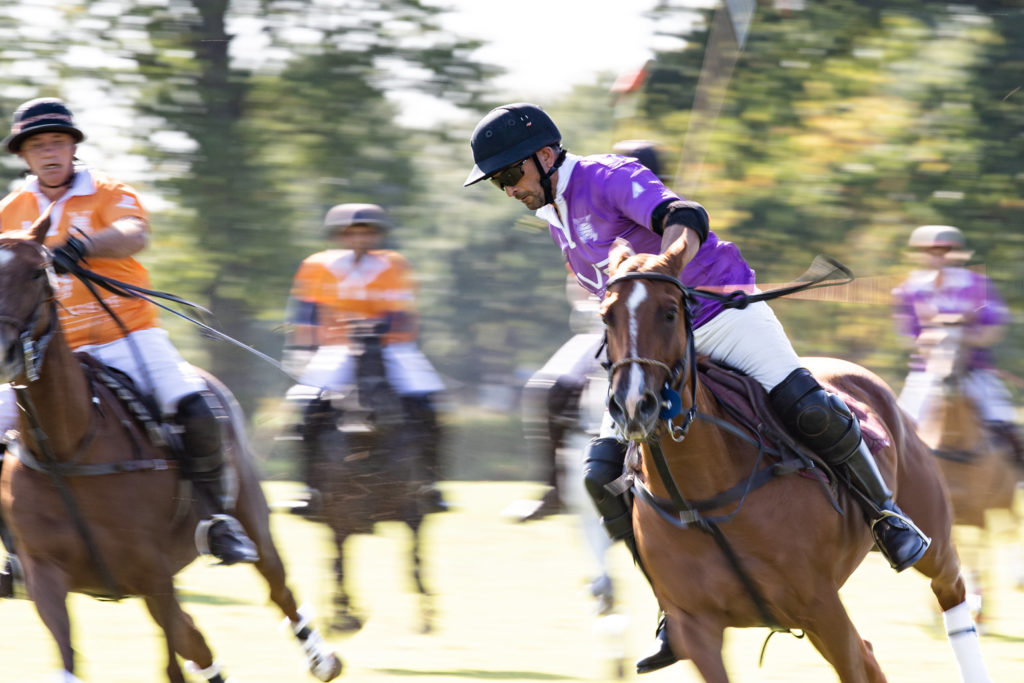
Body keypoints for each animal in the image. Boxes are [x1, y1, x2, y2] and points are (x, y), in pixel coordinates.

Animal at [0, 231, 344, 683]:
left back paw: (322, 658)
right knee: (187, 638)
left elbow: (182, 649)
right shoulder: (45, 573)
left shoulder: (152, 570)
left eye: (38, 272)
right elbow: (73, 656)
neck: (66, 449)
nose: (3, 351)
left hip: (252, 517)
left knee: (276, 585)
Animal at [598, 241, 987, 683]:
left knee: (949, 589)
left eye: (668, 312)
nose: (633, 404)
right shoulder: (695, 628)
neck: (701, 500)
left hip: (932, 532)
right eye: (607, 315)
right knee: (871, 653)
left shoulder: (821, 607)